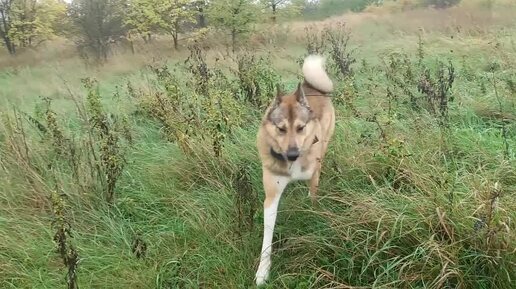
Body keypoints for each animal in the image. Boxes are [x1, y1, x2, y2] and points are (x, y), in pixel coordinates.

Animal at [254, 54, 334, 286]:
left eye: (300, 128)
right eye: (281, 128)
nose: (291, 155)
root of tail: (309, 85)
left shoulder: (313, 173)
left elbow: (314, 196)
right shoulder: (271, 195)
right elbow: (267, 236)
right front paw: (263, 271)